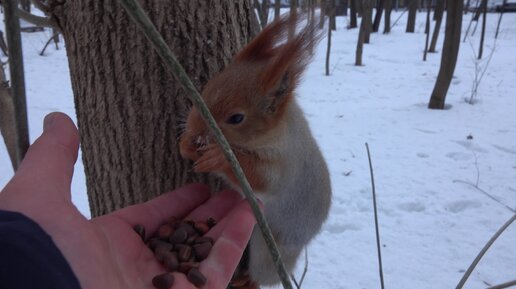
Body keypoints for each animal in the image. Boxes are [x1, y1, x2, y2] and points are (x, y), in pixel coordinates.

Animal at [178, 14, 330, 288]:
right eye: (206, 88)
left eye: (237, 118)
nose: (195, 130)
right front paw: (186, 143)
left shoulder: (286, 164)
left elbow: (261, 178)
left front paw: (218, 156)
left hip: (266, 246)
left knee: (265, 274)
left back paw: (247, 279)